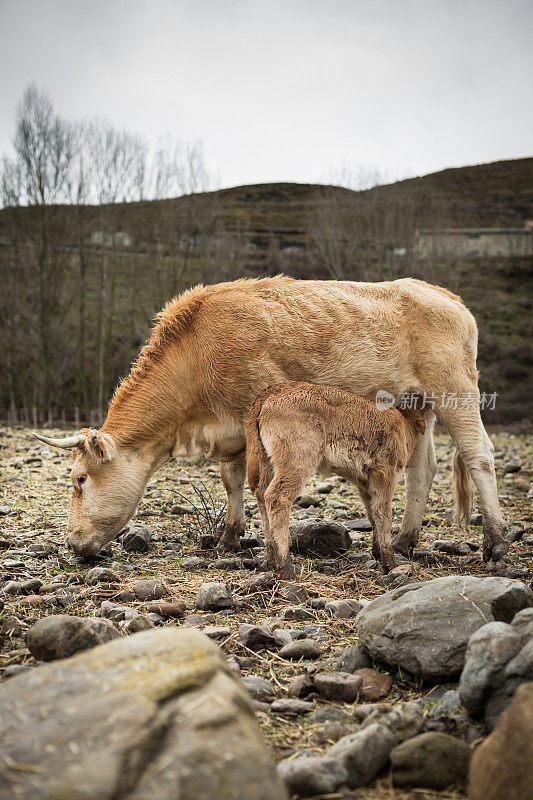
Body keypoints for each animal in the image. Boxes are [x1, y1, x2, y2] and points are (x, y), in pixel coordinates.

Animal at [247, 382, 426, 576]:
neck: (402, 422)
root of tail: (273, 391)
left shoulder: (364, 481)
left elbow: (371, 512)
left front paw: (377, 552)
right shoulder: (384, 473)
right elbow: (383, 512)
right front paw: (390, 564)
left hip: (267, 462)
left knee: (261, 494)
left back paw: (272, 559)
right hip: (298, 460)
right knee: (277, 497)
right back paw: (284, 567)